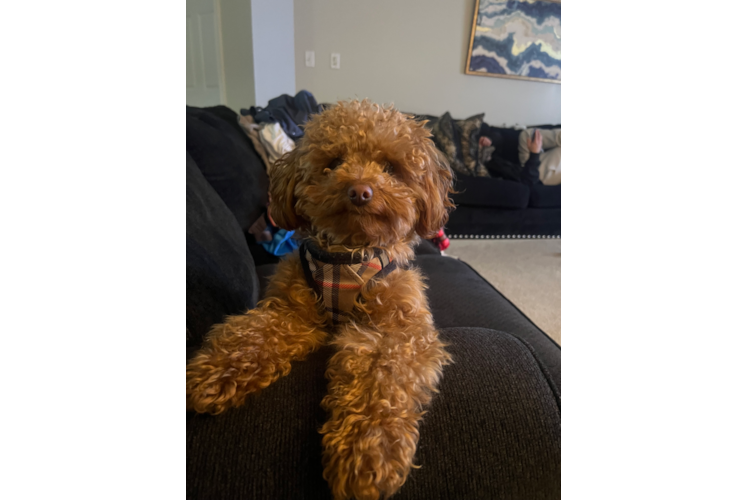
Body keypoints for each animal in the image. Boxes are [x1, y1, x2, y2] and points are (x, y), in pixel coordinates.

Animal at [187, 98, 456, 500]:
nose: (360, 191)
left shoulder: (395, 330)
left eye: (390, 168)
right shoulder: (291, 312)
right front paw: (215, 373)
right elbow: (251, 335)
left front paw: (368, 451)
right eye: (333, 163)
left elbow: (384, 379)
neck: (348, 254)